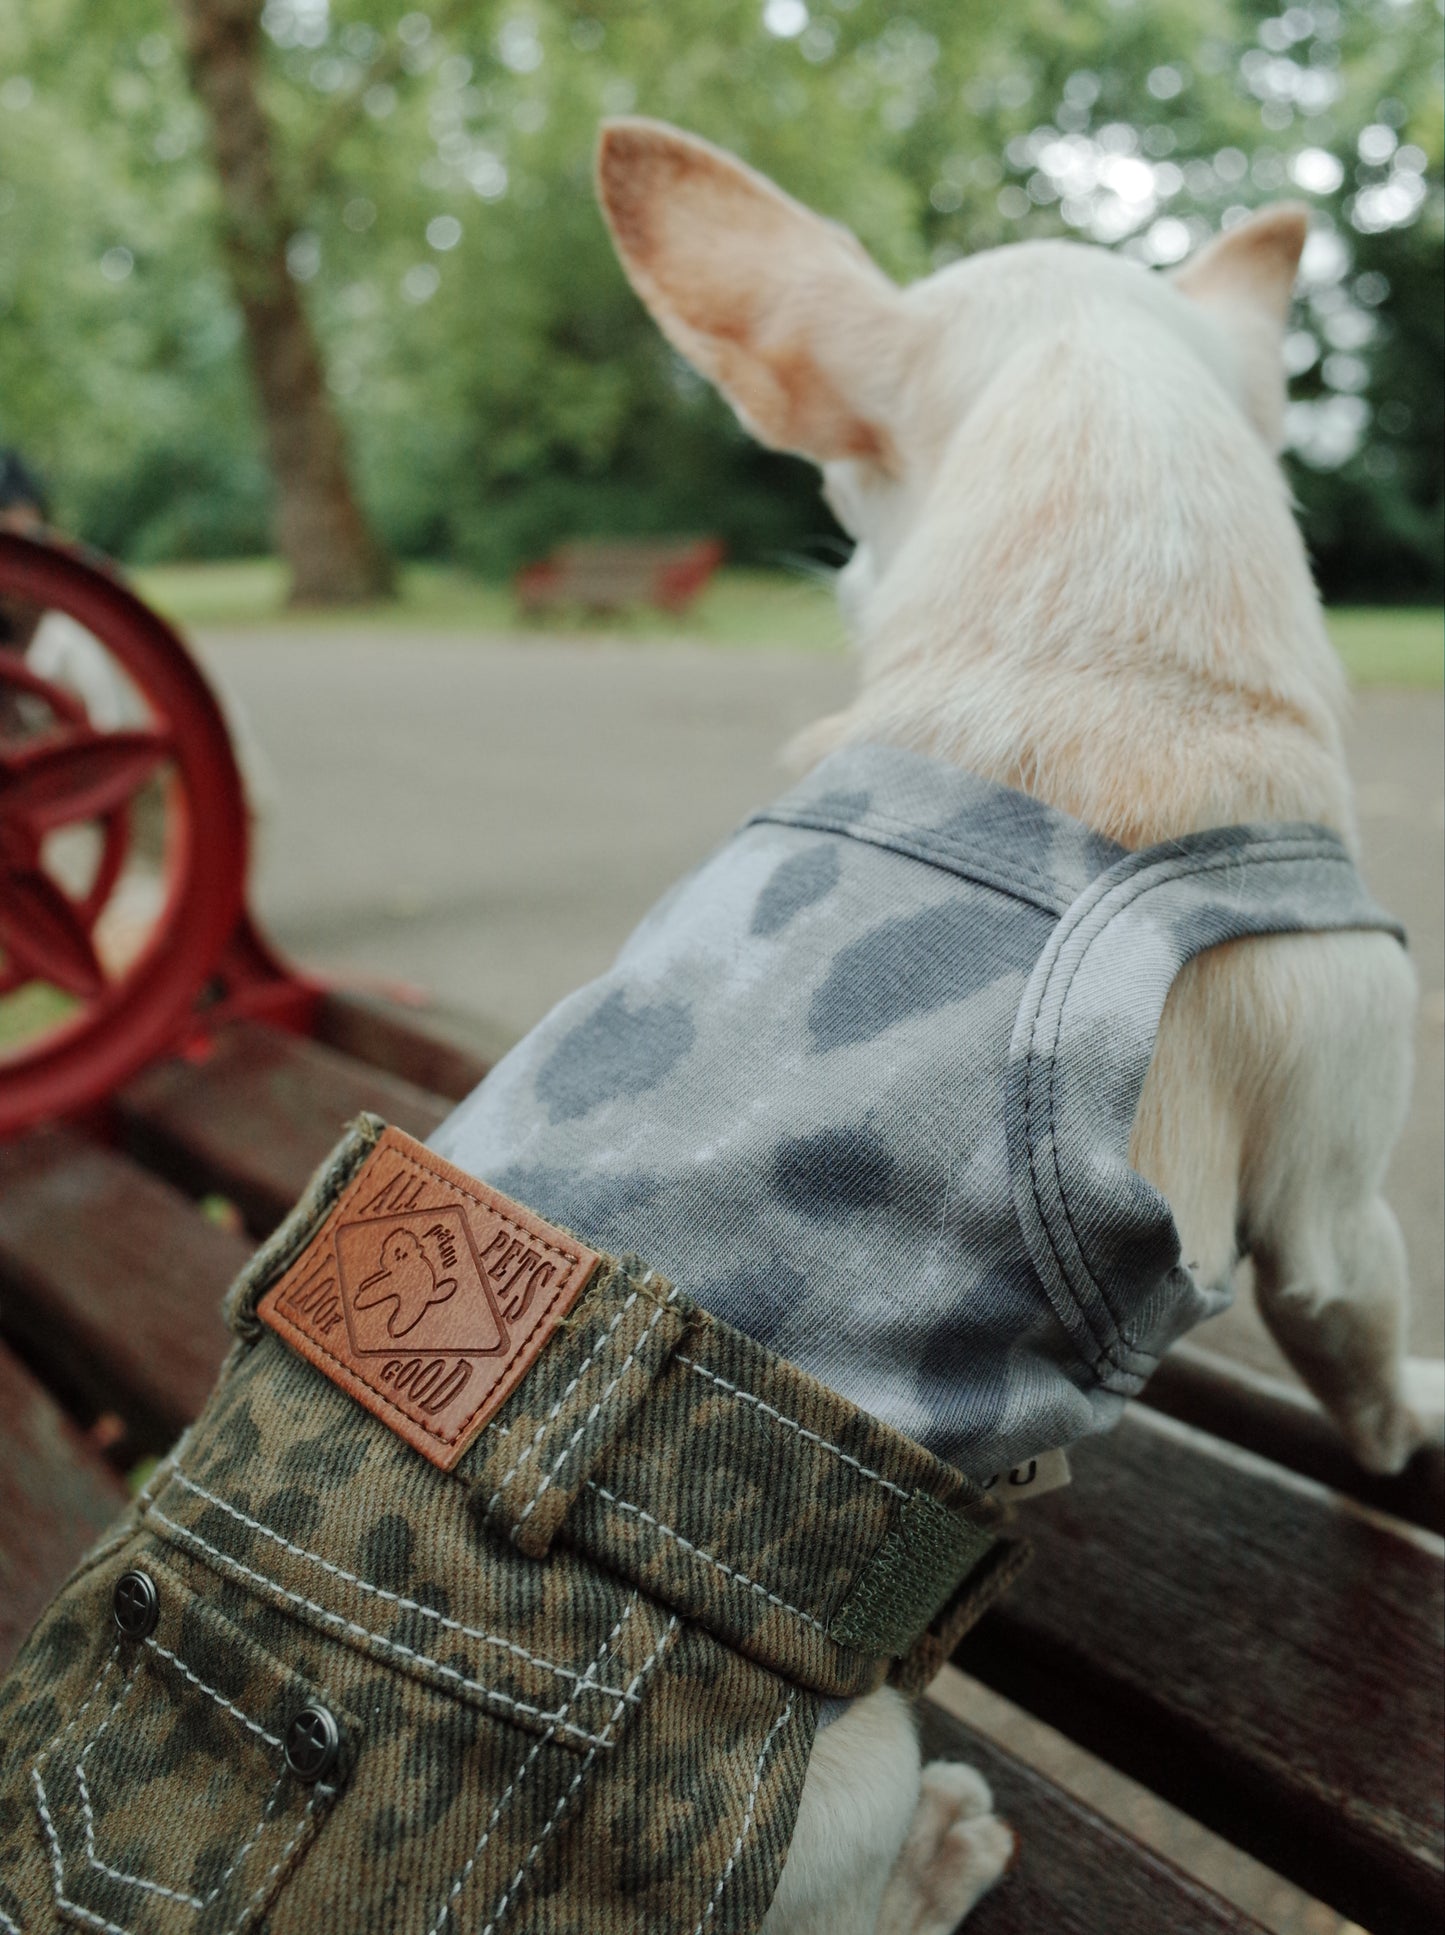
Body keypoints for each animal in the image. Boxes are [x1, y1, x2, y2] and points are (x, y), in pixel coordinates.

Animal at [591, 120, 1439, 1935]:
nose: (838, 574)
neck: (1084, 652)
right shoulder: (1337, 1210)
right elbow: (1360, 1344)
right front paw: (1419, 1414)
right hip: (830, 1769)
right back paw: (943, 1855)